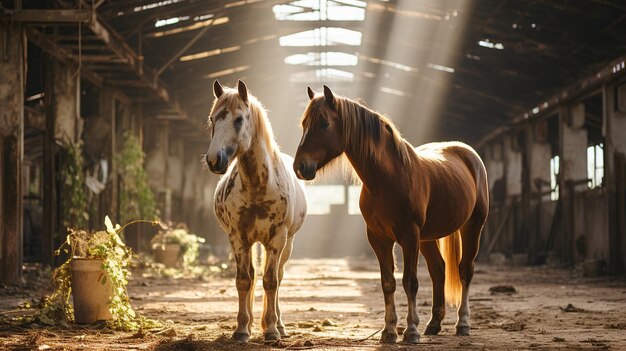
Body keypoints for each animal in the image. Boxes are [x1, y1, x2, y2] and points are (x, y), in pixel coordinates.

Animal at [292, 86, 488, 346]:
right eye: (304, 123)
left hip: (471, 226)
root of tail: (466, 153)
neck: (389, 177)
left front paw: (411, 331)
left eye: (324, 123)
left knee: (465, 270)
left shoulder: (409, 235)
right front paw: (389, 331)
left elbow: (410, 282)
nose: (300, 167)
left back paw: (462, 324)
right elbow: (388, 283)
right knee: (439, 269)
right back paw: (434, 324)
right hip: (428, 237)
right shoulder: (378, 238)